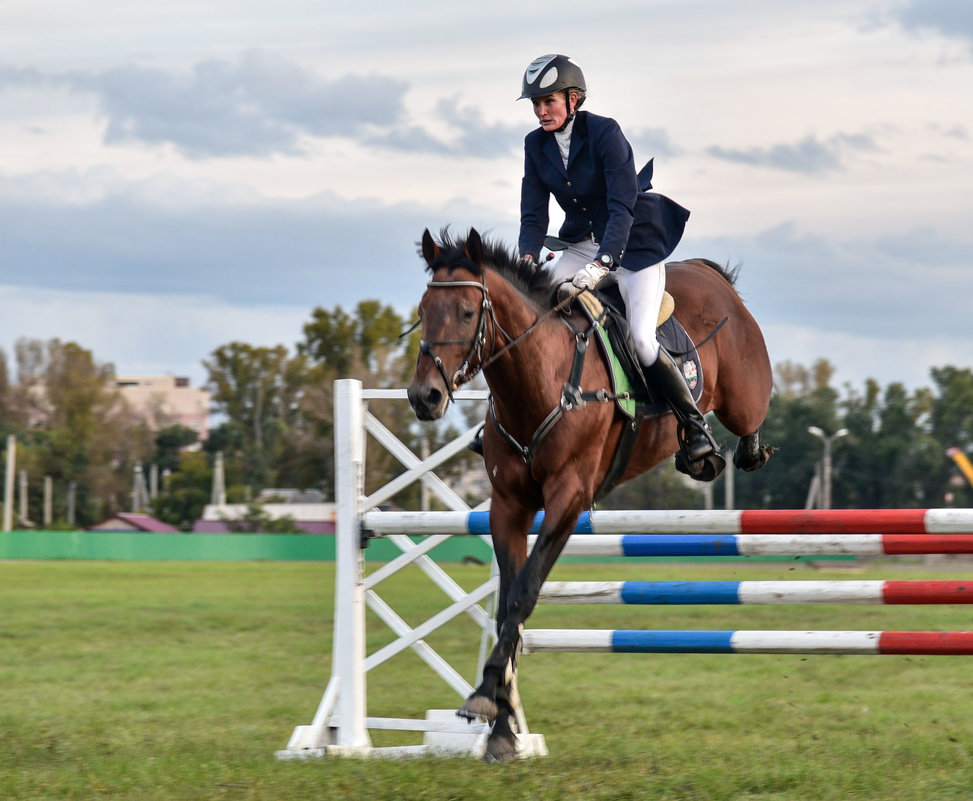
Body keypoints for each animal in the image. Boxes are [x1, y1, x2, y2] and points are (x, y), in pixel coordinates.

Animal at [406, 227, 772, 764]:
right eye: (423, 310)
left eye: (468, 313)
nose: (424, 397)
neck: (539, 380)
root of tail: (707, 272)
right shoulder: (509, 505)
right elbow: (507, 607)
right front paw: (502, 730)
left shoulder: (568, 499)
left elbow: (523, 595)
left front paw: (486, 698)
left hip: (742, 393)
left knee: (749, 418)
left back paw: (716, 450)